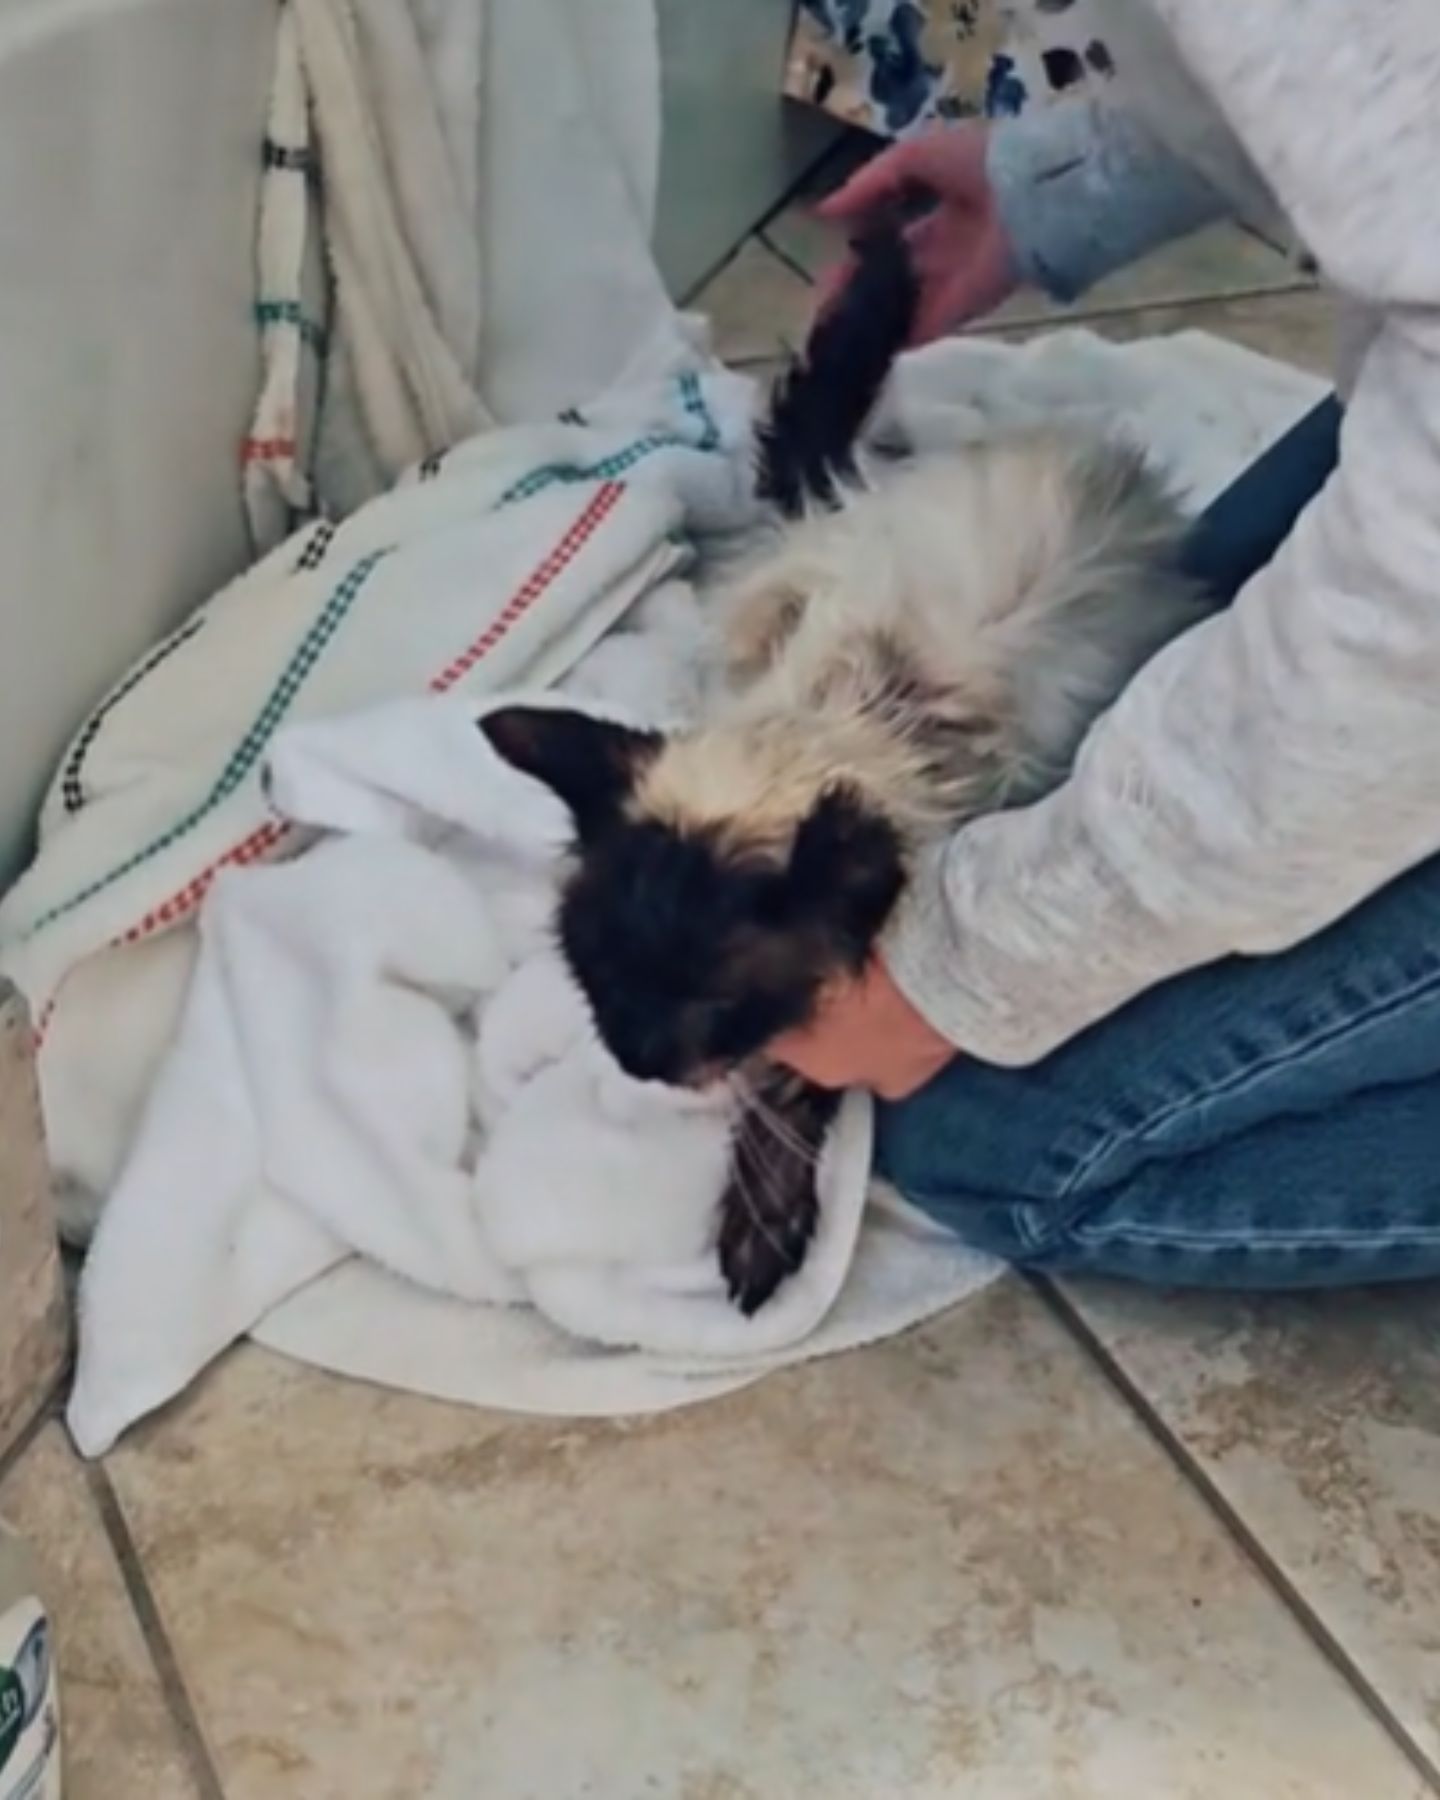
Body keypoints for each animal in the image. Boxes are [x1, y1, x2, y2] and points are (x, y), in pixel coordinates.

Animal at [482, 217, 1202, 1317]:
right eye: (597, 971)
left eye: (714, 1001)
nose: (642, 1065)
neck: (848, 717)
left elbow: (796, 1095)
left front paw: (762, 1230)